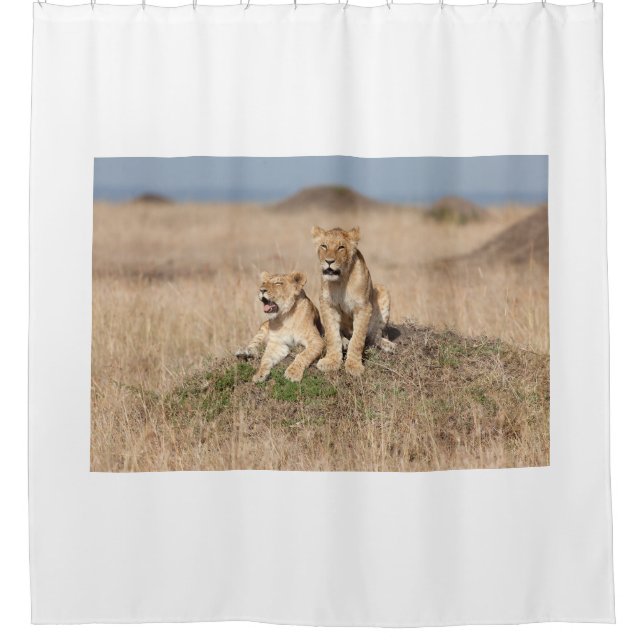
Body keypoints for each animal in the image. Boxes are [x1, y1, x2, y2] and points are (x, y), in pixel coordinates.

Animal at [311, 226, 395, 376]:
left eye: (341, 247)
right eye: (324, 246)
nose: (329, 261)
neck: (340, 281)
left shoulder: (363, 307)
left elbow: (357, 339)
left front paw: (354, 366)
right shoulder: (328, 305)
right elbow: (332, 335)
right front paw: (331, 361)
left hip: (382, 290)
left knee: (374, 335)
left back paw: (388, 345)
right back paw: (344, 341)